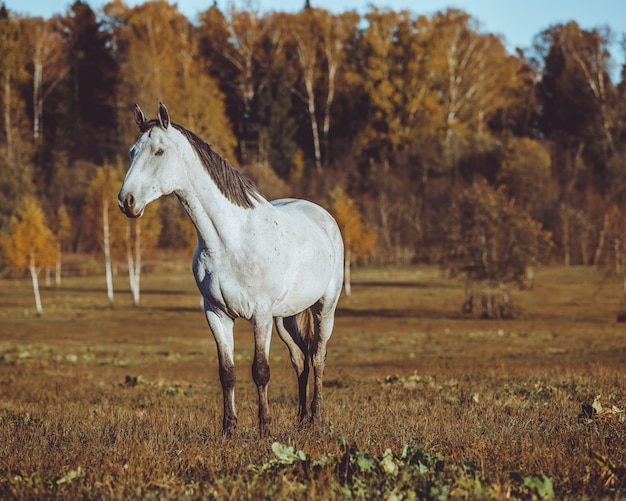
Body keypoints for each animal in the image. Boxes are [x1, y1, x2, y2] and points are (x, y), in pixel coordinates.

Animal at [117, 103, 342, 436]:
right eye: (133, 151)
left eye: (158, 151)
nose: (126, 201)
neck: (229, 240)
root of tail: (322, 215)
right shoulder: (217, 314)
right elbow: (227, 372)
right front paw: (229, 428)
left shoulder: (259, 315)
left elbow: (260, 370)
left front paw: (265, 428)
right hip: (285, 318)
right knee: (300, 360)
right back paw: (302, 419)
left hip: (324, 308)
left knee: (319, 357)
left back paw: (317, 417)